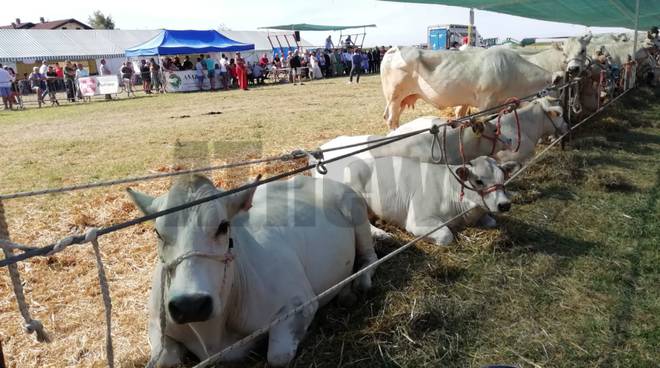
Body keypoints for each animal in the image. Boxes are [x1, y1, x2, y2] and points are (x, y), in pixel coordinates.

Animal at [129, 174, 376, 366]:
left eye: (223, 226)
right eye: (158, 233)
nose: (191, 304)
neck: (211, 335)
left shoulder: (300, 302)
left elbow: (278, 357)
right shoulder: (155, 323)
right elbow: (164, 361)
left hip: (355, 209)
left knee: (369, 257)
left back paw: (355, 287)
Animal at [342, 156, 520, 246]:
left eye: (503, 178)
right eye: (478, 181)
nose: (504, 204)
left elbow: (492, 222)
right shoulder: (418, 221)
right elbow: (446, 236)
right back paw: (381, 234)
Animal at [382, 46, 564, 130]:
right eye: (560, 88)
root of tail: (396, 48)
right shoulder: (487, 103)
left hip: (402, 99)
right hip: (394, 97)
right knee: (391, 120)